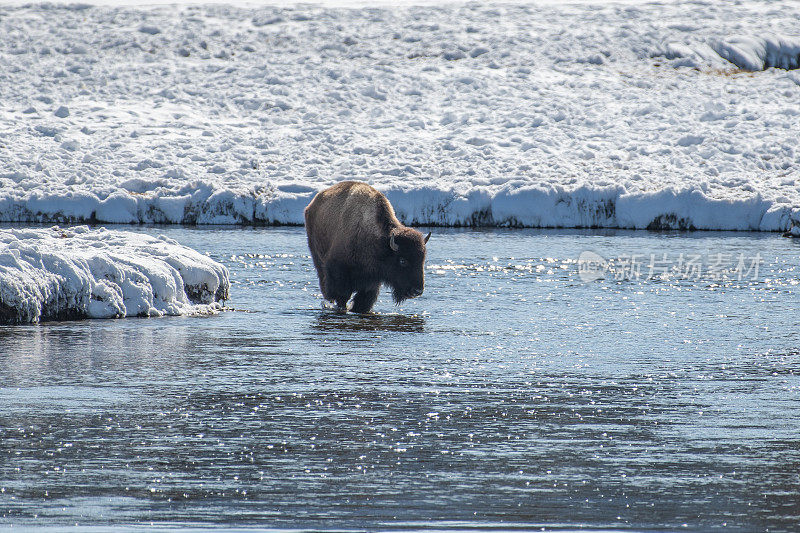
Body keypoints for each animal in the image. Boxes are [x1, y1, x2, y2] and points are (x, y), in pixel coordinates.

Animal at [306, 180, 432, 312]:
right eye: (402, 260)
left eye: (422, 260)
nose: (417, 291)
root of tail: (312, 204)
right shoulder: (338, 272)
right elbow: (342, 297)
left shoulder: (371, 284)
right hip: (318, 260)